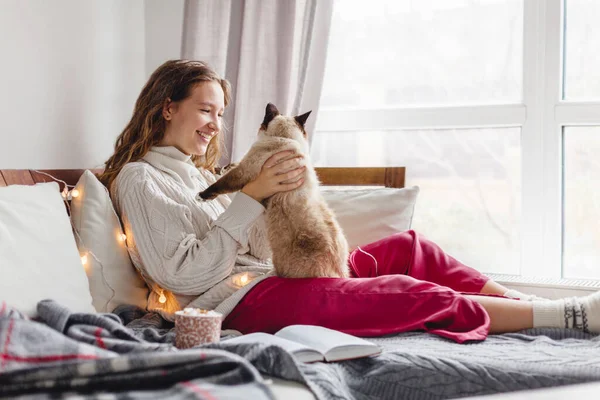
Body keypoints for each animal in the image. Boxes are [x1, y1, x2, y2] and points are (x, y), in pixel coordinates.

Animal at [195, 103, 350, 278]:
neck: (285, 137)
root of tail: (339, 272)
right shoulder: (244, 166)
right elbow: (229, 168)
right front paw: (219, 168)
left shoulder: (244, 170)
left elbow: (222, 183)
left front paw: (202, 195)